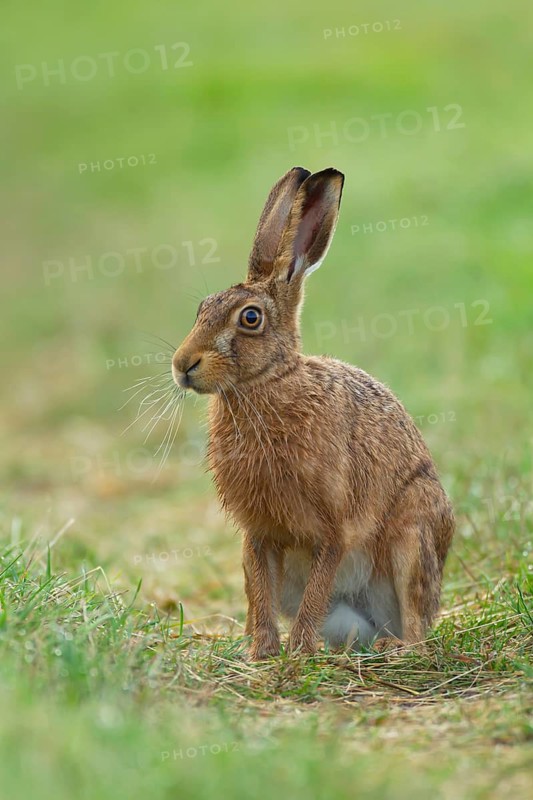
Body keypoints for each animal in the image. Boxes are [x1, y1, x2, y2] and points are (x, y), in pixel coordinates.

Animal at [172, 166, 455, 660]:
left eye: (250, 318)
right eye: (201, 309)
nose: (182, 365)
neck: (268, 384)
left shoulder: (334, 528)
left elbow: (318, 587)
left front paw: (299, 651)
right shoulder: (256, 532)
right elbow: (259, 590)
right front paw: (263, 653)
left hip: (413, 536)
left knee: (417, 621)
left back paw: (396, 648)